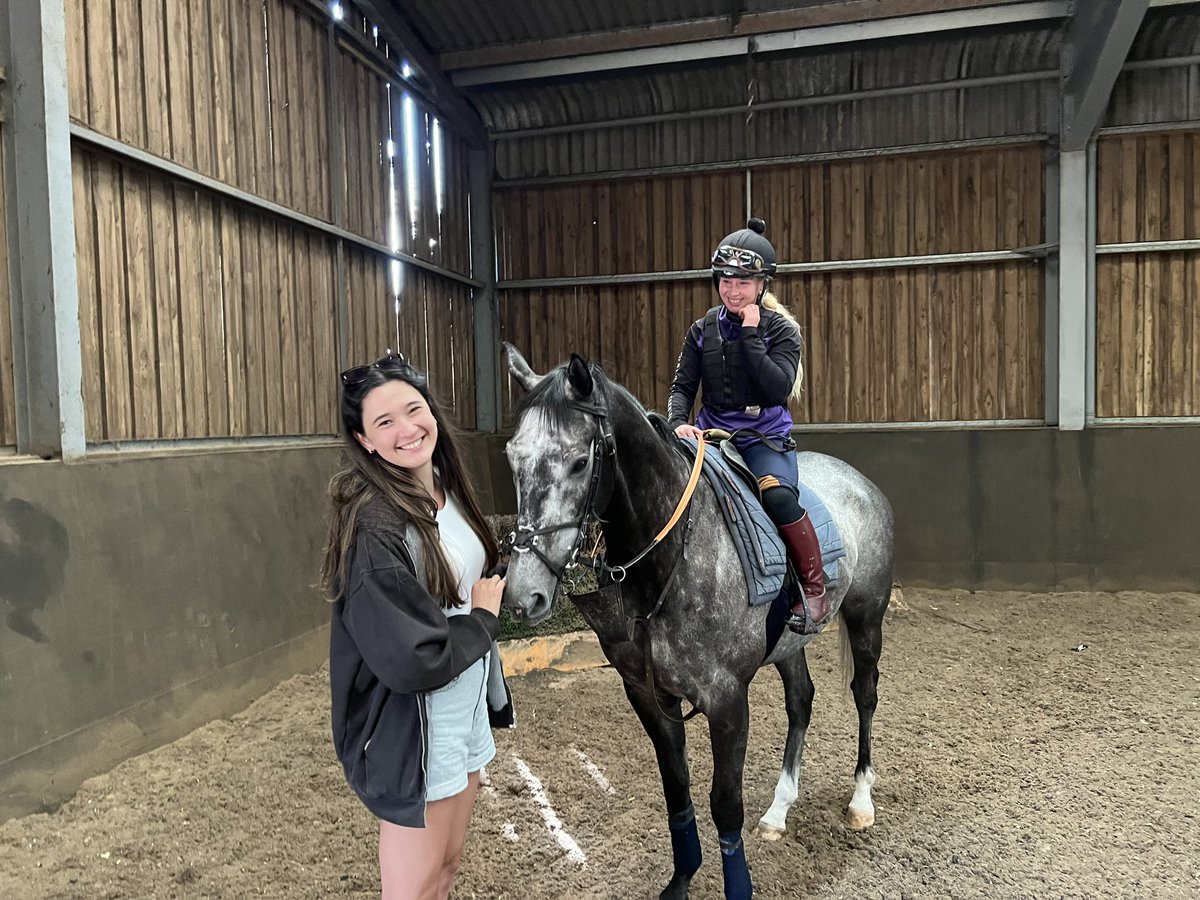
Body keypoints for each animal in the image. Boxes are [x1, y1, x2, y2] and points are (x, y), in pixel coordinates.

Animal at [499, 340, 892, 897]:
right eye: (513, 457)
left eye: (578, 463)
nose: (523, 595)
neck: (671, 561)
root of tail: (859, 481)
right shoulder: (648, 697)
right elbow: (677, 790)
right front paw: (682, 878)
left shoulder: (727, 700)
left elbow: (724, 806)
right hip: (790, 644)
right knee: (801, 702)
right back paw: (779, 811)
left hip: (865, 619)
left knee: (864, 695)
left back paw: (861, 801)